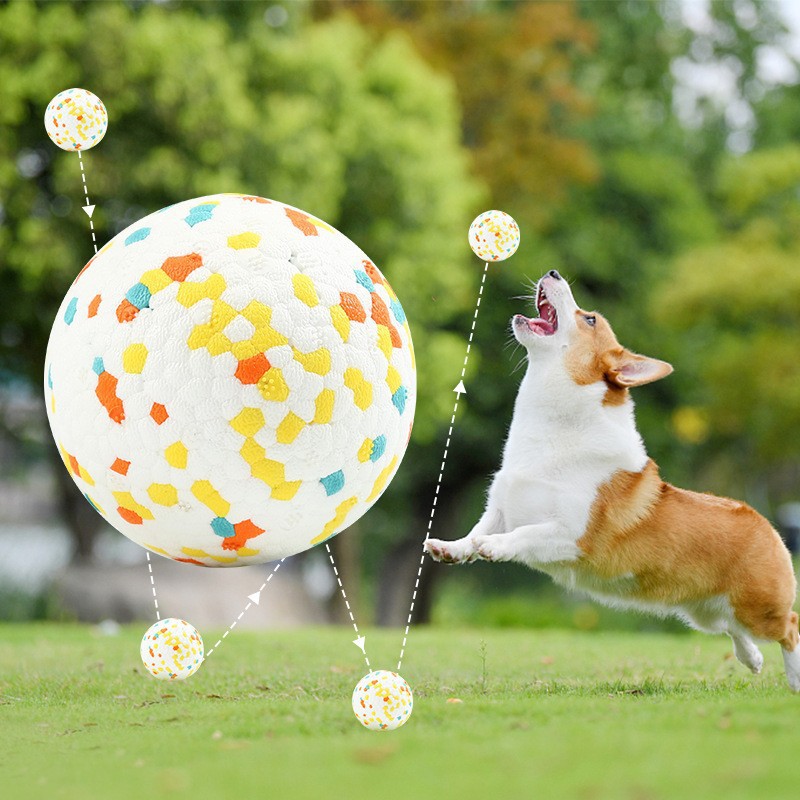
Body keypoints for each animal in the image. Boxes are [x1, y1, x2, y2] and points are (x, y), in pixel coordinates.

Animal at [424, 270, 800, 692]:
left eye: (590, 319)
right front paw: (450, 548)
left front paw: (495, 546)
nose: (554, 273)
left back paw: (794, 678)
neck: (552, 434)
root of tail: (767, 524)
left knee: (790, 627)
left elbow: (520, 535)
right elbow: (475, 532)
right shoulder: (502, 508)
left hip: (758, 608)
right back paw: (752, 659)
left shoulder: (571, 534)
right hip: (706, 612)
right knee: (734, 630)